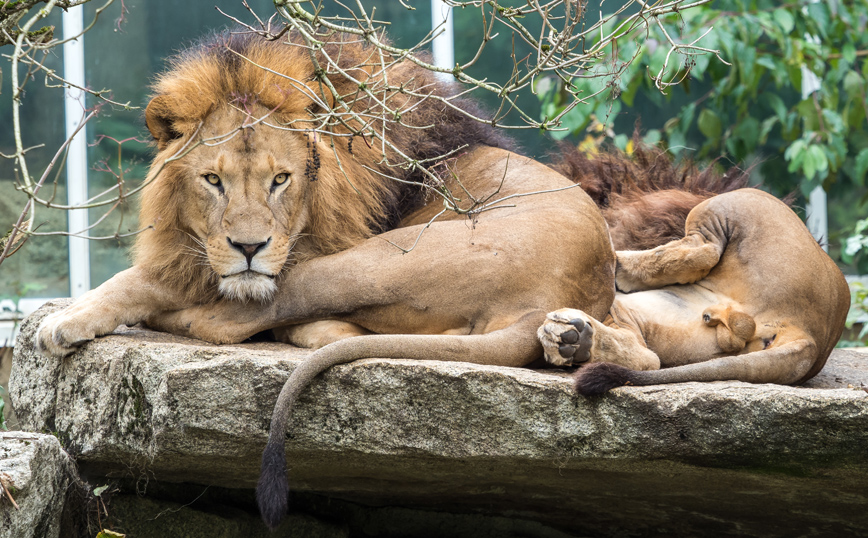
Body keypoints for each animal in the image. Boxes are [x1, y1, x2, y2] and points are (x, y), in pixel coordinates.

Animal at [35, 32, 616, 524]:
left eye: (280, 179)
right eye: (213, 180)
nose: (249, 248)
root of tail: (552, 301)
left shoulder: (290, 257)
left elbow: (148, 279)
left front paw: (68, 318)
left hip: (368, 261)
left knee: (223, 323)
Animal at [540, 147, 852, 394]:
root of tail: (813, 338)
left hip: (738, 201)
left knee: (704, 248)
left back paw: (617, 268)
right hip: (677, 327)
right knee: (645, 355)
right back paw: (575, 340)